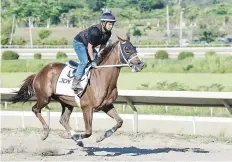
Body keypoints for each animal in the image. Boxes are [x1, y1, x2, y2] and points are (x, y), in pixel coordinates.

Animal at [8, 36, 144, 144]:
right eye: (127, 49)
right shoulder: (87, 108)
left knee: (63, 120)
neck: (101, 78)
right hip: (44, 98)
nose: (140, 64)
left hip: (66, 103)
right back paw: (46, 133)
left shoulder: (107, 105)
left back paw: (73, 137)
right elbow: (88, 132)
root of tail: (39, 73)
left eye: (135, 48)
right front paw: (79, 136)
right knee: (35, 109)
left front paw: (100, 137)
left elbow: (119, 122)